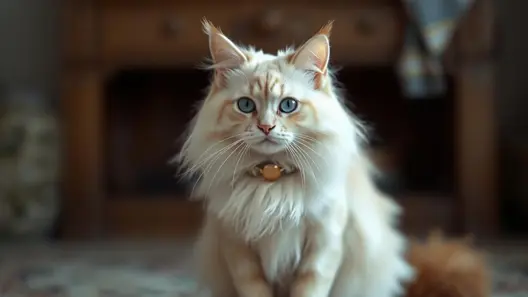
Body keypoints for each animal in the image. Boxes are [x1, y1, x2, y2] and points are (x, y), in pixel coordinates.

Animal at [177, 19, 490, 296]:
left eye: (288, 106)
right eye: (245, 105)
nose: (265, 127)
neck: (273, 177)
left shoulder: (323, 243)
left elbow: (309, 289)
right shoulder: (238, 248)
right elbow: (254, 290)